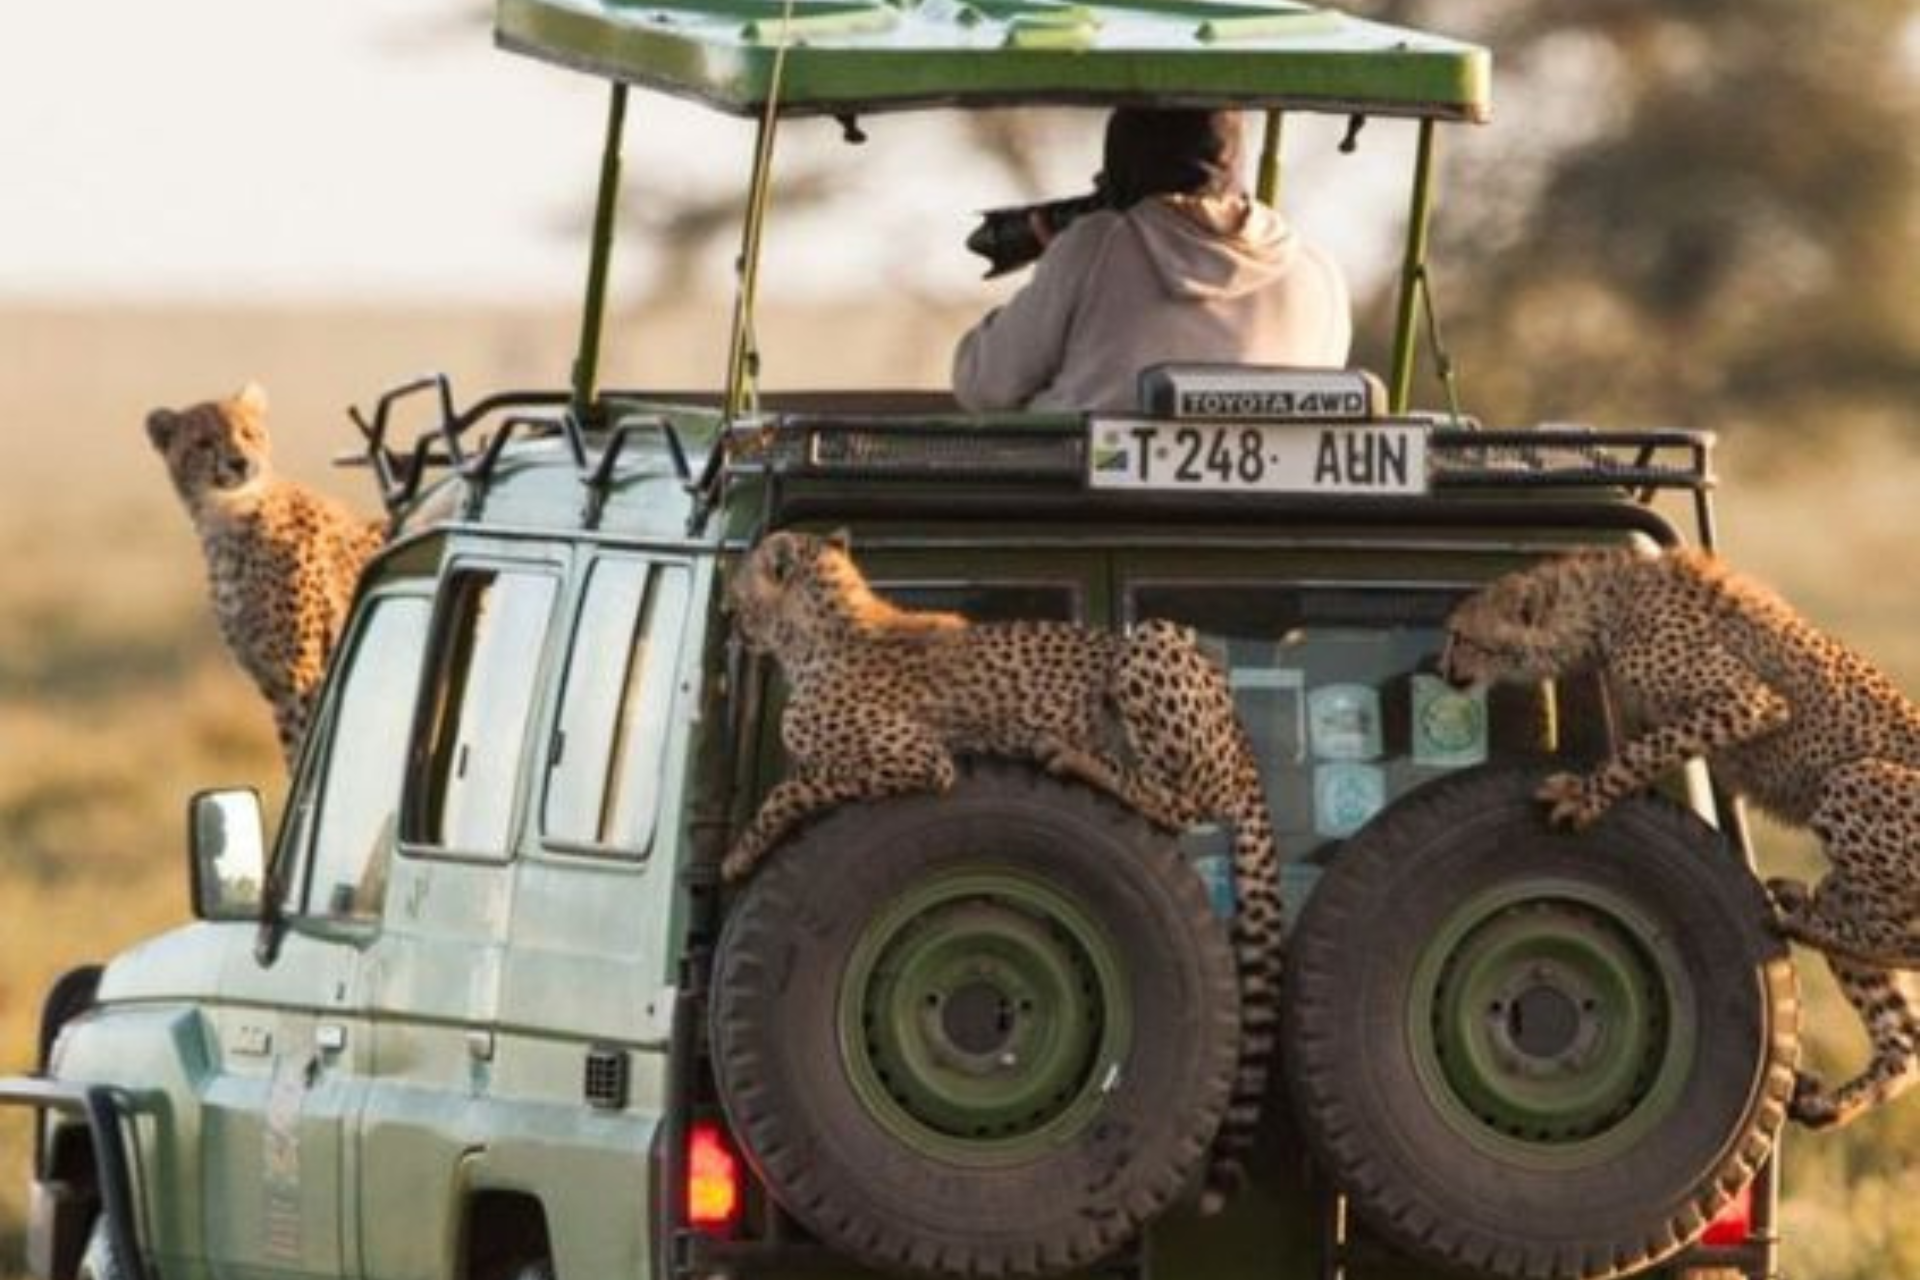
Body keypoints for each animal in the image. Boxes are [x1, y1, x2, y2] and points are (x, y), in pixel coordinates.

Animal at [145, 385, 385, 771]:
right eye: (204, 442)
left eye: (249, 433)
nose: (239, 462)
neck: (226, 520)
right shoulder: (274, 684)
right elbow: (293, 755)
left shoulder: (304, 676)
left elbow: (306, 757)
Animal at [725, 529, 1282, 1212]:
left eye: (740, 587)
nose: (730, 615)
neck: (826, 625)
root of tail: (1242, 731)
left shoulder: (924, 761)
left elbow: (797, 787)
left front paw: (742, 851)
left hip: (1152, 644)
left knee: (1176, 800)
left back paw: (1072, 755)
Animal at [1443, 545, 1920, 1128]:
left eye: (1461, 637)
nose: (1445, 671)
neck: (1602, 607)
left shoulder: (1752, 701)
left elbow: (1650, 748)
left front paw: (1585, 794)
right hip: (1859, 889)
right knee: (1903, 1039)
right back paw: (1826, 1099)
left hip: (1855, 782)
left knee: (1902, 937)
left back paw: (1797, 914)